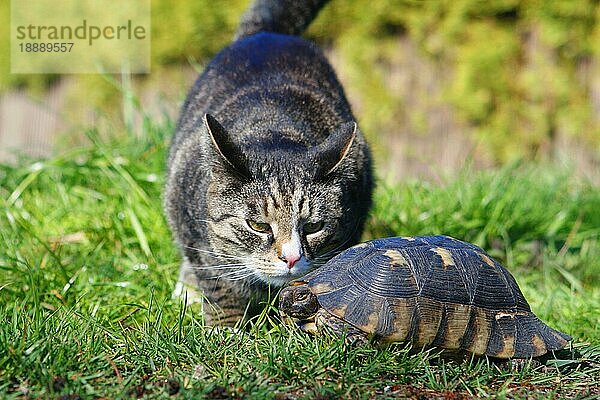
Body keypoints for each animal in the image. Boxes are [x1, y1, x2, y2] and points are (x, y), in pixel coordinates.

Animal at [163, 0, 370, 324]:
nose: (292, 257)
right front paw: (226, 329)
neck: (274, 128)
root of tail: (267, 34)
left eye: (314, 226)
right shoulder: (193, 234)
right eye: (257, 226)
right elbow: (219, 287)